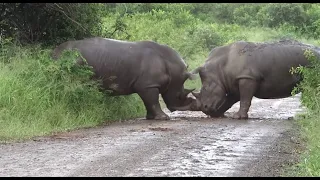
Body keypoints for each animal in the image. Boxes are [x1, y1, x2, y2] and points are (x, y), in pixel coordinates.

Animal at [52, 37, 198, 120]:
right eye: (180, 95)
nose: (176, 109)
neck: (172, 67)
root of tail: (53, 54)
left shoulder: (147, 85)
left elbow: (149, 102)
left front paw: (150, 118)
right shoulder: (148, 85)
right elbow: (153, 101)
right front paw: (163, 118)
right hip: (74, 61)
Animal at [174, 40, 320, 119]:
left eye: (205, 89)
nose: (206, 110)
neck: (219, 68)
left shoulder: (247, 77)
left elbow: (245, 99)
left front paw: (238, 117)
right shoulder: (233, 81)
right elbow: (230, 100)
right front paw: (219, 114)